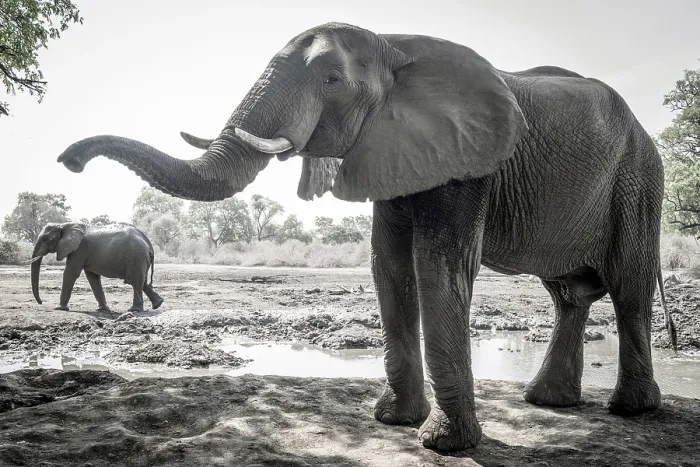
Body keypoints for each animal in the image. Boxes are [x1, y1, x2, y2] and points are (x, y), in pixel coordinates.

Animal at [31, 222, 164, 313]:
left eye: (45, 239)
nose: (41, 302)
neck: (64, 224)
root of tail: (148, 243)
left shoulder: (79, 249)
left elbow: (71, 273)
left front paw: (59, 309)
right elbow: (92, 277)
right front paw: (103, 310)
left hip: (136, 257)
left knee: (135, 281)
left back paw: (134, 310)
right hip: (140, 259)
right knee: (142, 281)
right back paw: (158, 304)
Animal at [55, 23, 677, 451]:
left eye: (332, 81)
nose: (70, 161)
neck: (395, 47)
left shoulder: (469, 163)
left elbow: (438, 267)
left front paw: (444, 444)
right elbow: (389, 267)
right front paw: (393, 421)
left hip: (639, 179)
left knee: (628, 287)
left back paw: (631, 410)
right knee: (569, 293)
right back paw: (547, 402)